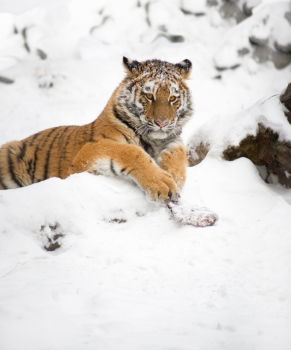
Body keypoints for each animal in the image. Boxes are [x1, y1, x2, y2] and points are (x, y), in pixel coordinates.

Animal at [0, 56, 194, 201]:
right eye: (149, 96)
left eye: (173, 98)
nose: (162, 123)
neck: (152, 140)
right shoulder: (87, 153)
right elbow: (131, 151)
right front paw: (163, 183)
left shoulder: (173, 140)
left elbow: (178, 152)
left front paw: (175, 177)